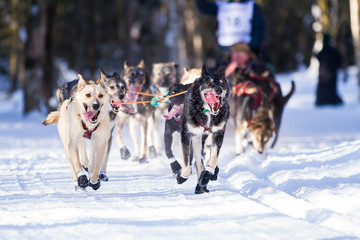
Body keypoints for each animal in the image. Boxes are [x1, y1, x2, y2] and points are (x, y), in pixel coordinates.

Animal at [176, 64, 229, 195]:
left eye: (222, 84)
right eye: (209, 83)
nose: (219, 90)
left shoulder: (218, 134)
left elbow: (213, 159)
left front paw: (206, 176)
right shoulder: (187, 134)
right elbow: (186, 163)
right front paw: (181, 176)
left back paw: (203, 181)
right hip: (197, 140)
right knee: (198, 163)